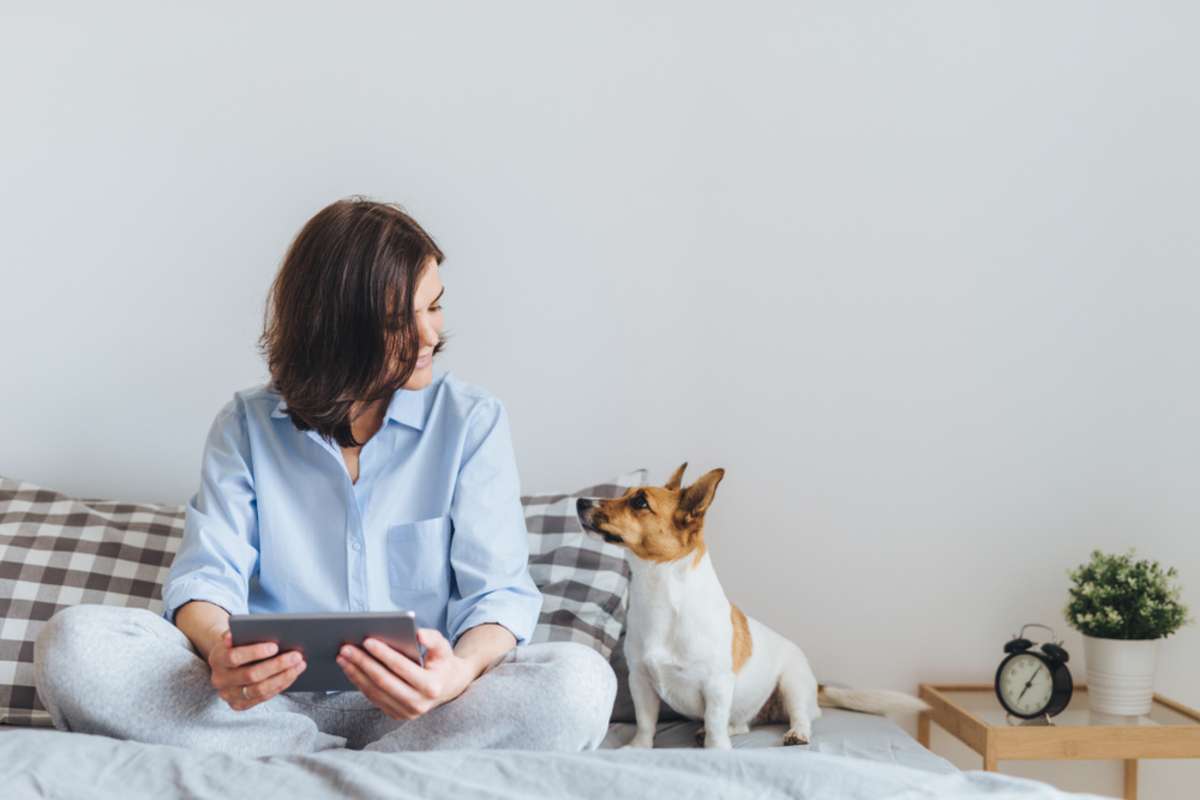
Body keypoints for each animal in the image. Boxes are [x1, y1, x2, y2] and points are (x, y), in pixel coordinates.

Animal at [576, 462, 931, 753]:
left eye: (639, 502)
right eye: (626, 495)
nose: (581, 502)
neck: (661, 593)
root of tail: (815, 684)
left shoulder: (717, 685)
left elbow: (716, 723)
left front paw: (717, 750)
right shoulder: (640, 682)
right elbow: (646, 722)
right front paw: (638, 747)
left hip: (793, 684)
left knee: (800, 717)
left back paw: (795, 734)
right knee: (741, 724)